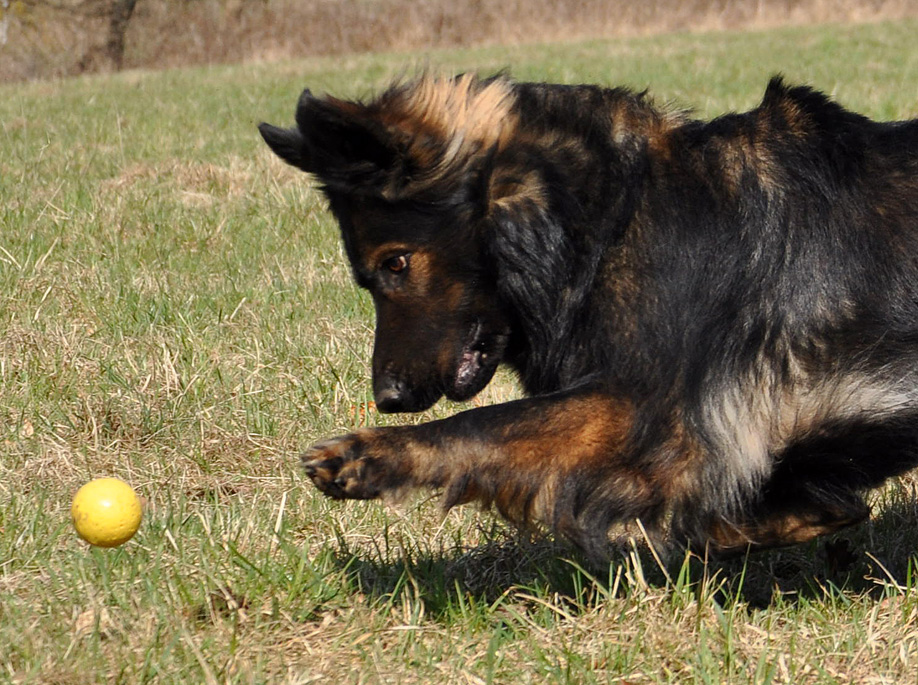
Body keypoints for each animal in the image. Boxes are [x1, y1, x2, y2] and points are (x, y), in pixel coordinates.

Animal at [259, 73, 918, 557]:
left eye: (395, 263)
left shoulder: (643, 409)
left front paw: (369, 453)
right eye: (367, 276)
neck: (609, 216)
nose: (388, 397)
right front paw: (811, 510)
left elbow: (483, 426)